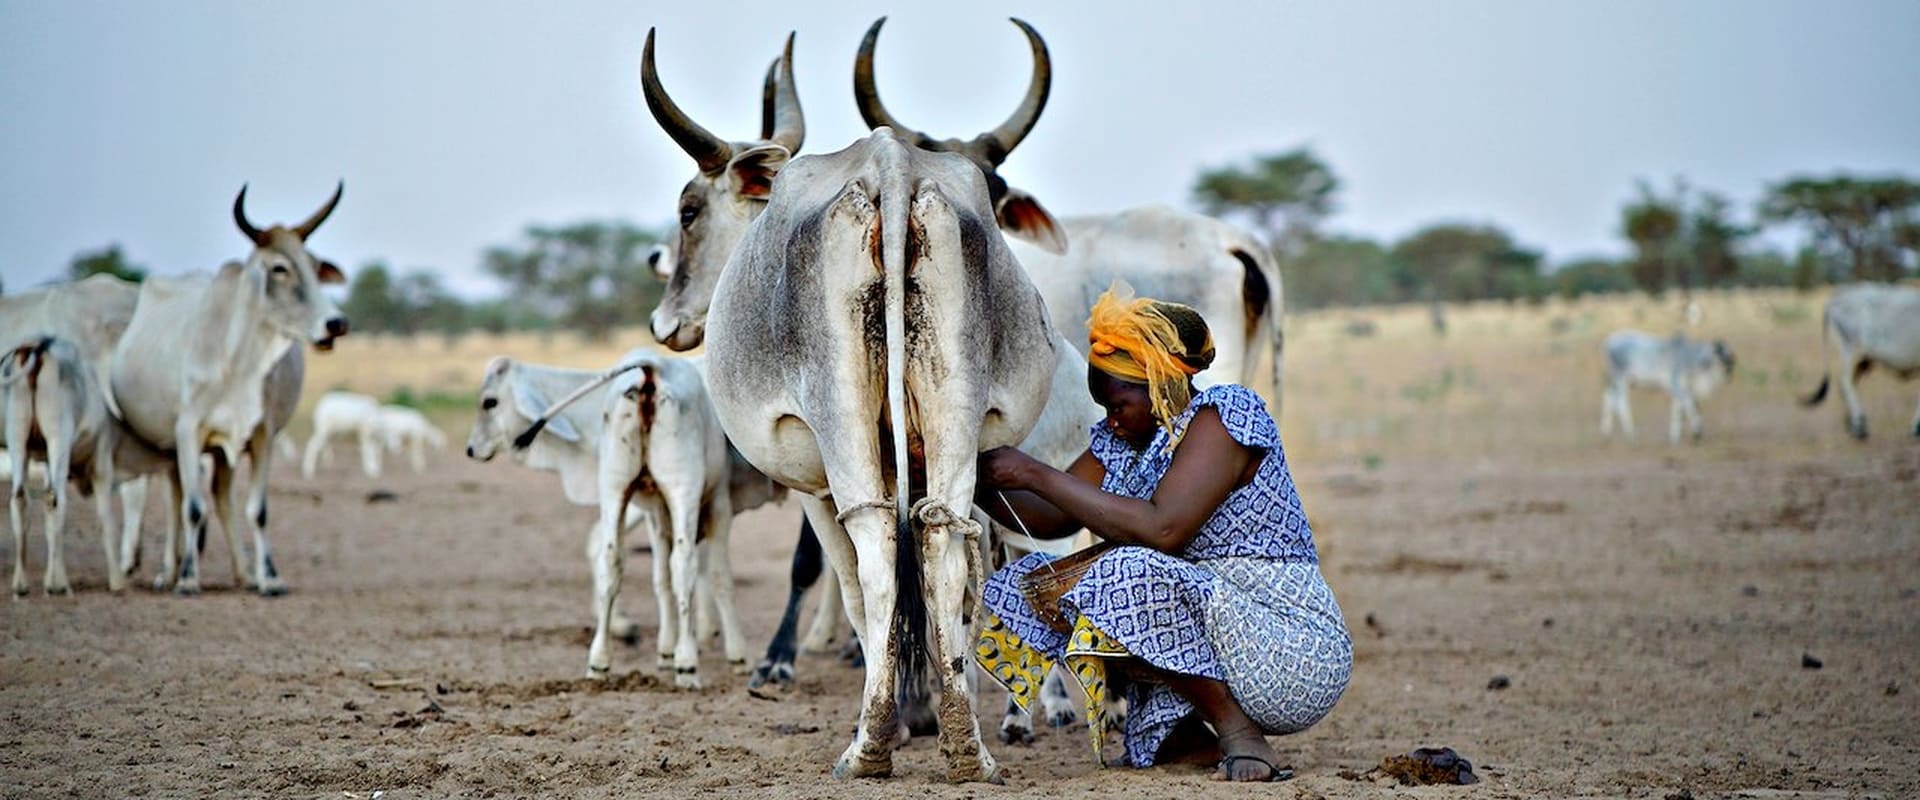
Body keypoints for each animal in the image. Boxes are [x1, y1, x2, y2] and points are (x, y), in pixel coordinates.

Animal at [108, 182, 349, 590]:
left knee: (219, 498)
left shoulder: (262, 434)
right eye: (279, 268)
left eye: (316, 266)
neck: (238, 360)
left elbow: (258, 509)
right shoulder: (187, 431)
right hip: (171, 445)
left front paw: (269, 577)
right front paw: (188, 579)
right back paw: (169, 572)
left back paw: (242, 572)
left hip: (219, 451)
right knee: (176, 499)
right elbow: (192, 508)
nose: (335, 324)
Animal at [462, 349, 779, 679]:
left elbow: (704, 575)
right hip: (667, 491)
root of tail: (652, 368)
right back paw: (678, 661)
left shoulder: (705, 503)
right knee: (674, 563)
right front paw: (689, 647)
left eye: (489, 402)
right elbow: (685, 575)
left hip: (634, 490)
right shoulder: (674, 506)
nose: (471, 449)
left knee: (629, 561)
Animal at [1597, 328, 1735, 443]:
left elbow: (1678, 410)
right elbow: (1689, 405)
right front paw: (1696, 431)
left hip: (1620, 380)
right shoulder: (1675, 385)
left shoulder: (1681, 389)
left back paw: (1606, 433)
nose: (1731, 364)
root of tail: (1609, 341)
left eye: (1730, 353)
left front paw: (1674, 436)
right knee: (1620, 401)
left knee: (1608, 397)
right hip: (1621, 379)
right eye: (1720, 352)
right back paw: (1630, 432)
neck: (1690, 358)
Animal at [1797, 283, 1920, 439]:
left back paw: (1853, 424)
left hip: (1862, 359)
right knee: (1845, 382)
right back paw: (1859, 425)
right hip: (1851, 349)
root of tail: (1837, 298)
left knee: (1849, 383)